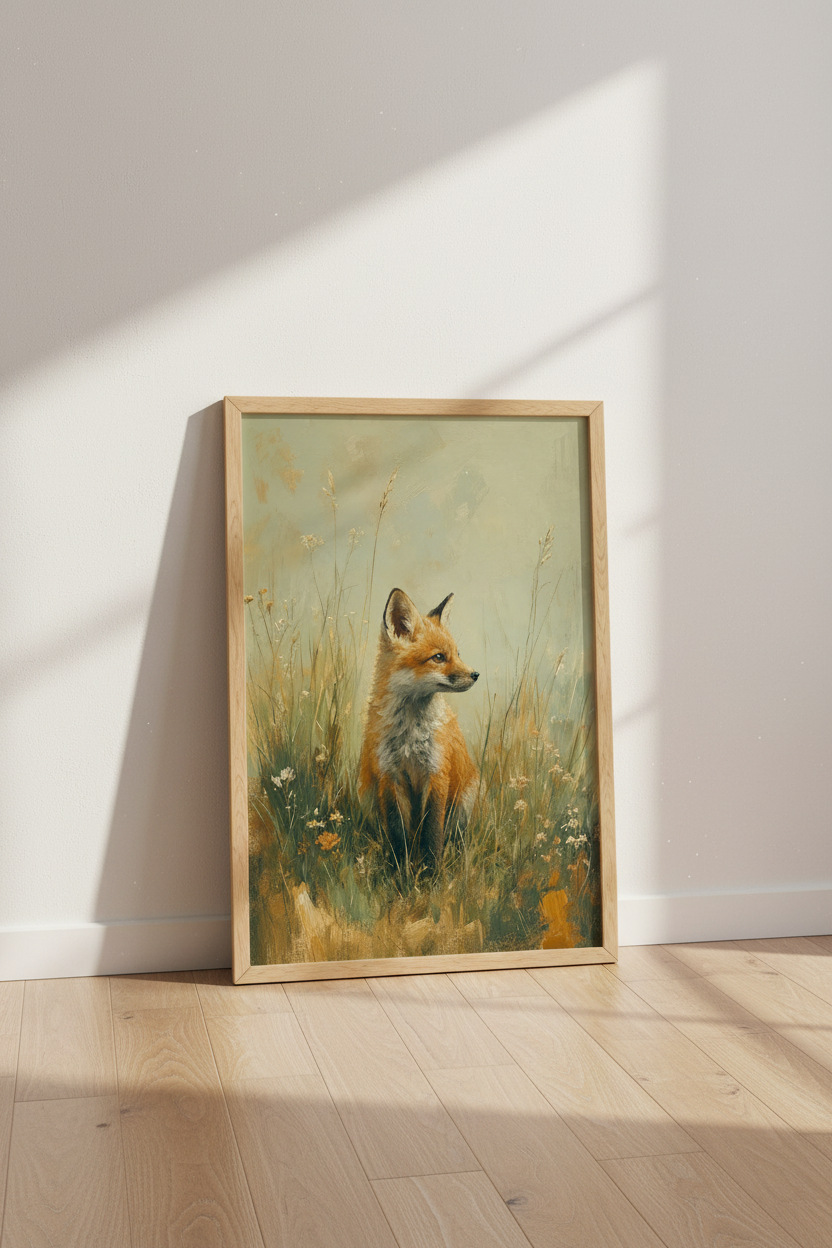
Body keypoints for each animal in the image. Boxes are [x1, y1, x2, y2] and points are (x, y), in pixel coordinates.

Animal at [359, 587, 479, 870]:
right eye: (439, 657)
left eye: (458, 654)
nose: (475, 674)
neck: (409, 736)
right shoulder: (390, 776)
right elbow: (398, 832)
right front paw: (399, 872)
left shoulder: (436, 773)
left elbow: (432, 832)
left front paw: (431, 874)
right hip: (366, 794)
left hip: (464, 802)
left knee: (455, 837)